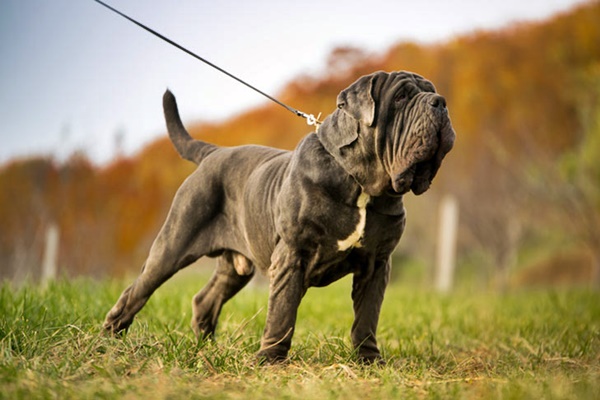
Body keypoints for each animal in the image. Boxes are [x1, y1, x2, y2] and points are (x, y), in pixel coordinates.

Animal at [103, 70, 454, 364]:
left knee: (205, 299)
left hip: (235, 267)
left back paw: (207, 349)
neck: (360, 183)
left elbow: (367, 316)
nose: (440, 102)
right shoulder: (292, 255)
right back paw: (109, 341)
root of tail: (213, 152)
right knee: (136, 291)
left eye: (431, 91)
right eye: (401, 98)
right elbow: (283, 311)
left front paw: (369, 360)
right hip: (172, 245)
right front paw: (271, 360)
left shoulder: (377, 264)